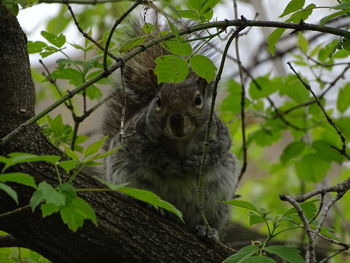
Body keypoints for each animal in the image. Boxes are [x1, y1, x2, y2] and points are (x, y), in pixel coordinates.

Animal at [102, 20, 239, 239]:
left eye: (198, 100)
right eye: (158, 101)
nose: (176, 121)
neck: (180, 141)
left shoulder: (220, 133)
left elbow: (218, 150)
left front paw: (195, 162)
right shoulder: (135, 136)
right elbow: (147, 153)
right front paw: (169, 164)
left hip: (219, 197)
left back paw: (207, 230)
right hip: (124, 174)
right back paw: (152, 205)